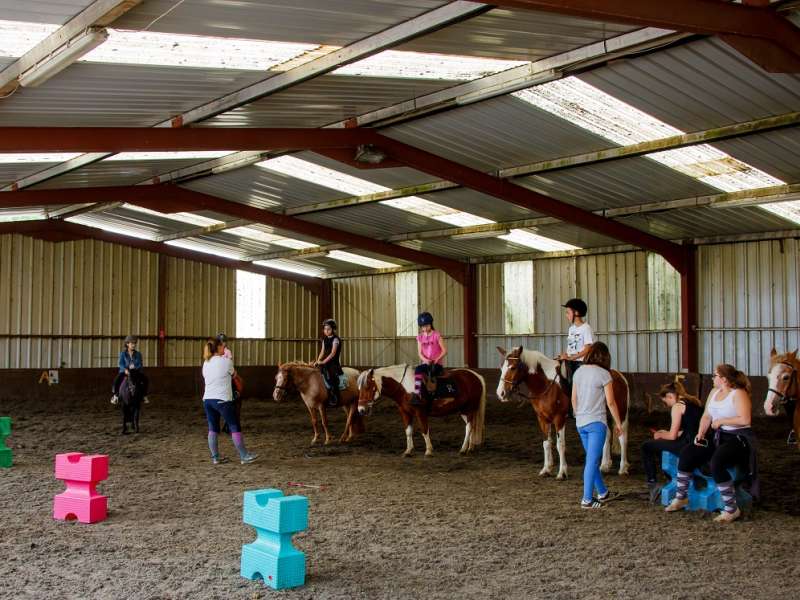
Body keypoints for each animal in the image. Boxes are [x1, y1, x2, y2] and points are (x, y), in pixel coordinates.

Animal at [494, 346, 632, 478]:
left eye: (513, 367)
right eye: (502, 368)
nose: (501, 394)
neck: (546, 384)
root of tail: (619, 376)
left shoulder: (559, 418)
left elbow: (560, 445)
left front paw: (562, 472)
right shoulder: (542, 418)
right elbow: (546, 443)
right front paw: (546, 469)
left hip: (620, 412)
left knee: (622, 436)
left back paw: (623, 468)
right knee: (607, 434)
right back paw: (604, 466)